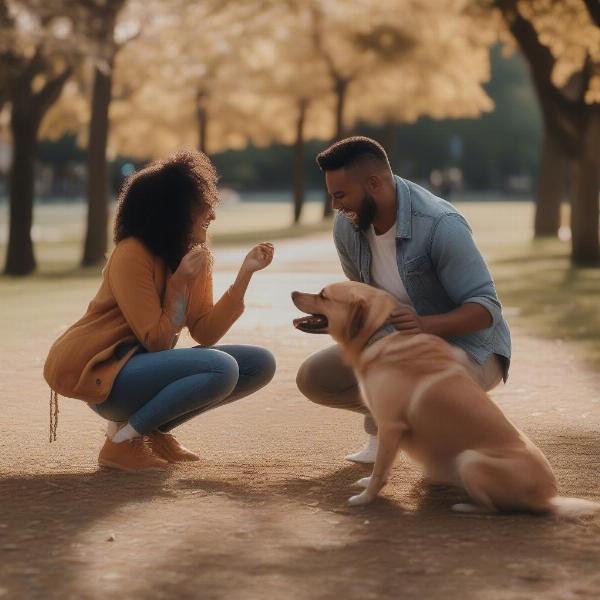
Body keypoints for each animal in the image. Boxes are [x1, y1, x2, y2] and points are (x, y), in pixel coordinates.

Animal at [292, 280, 596, 516]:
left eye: (323, 295)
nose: (293, 292)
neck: (381, 335)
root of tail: (548, 498)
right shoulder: (388, 429)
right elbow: (382, 464)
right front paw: (368, 484)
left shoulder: (391, 425)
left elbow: (380, 469)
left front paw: (366, 498)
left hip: (470, 460)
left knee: (495, 509)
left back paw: (465, 506)